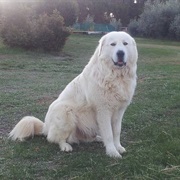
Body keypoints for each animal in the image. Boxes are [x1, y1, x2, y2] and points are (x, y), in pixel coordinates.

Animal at [9, 31, 138, 158]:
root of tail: (45, 126)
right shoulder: (103, 111)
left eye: (125, 44)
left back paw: (97, 138)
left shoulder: (119, 111)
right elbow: (108, 133)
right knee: (55, 138)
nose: (120, 53)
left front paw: (118, 147)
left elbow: (116, 132)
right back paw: (65, 146)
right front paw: (112, 152)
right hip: (65, 112)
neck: (115, 76)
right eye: (113, 44)